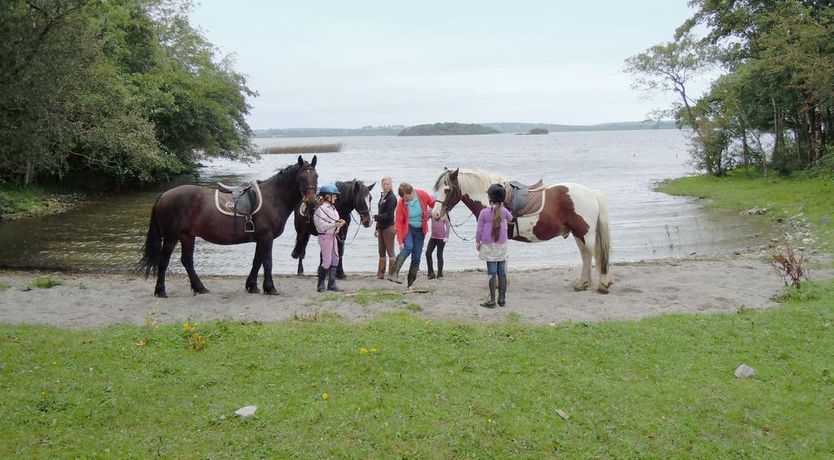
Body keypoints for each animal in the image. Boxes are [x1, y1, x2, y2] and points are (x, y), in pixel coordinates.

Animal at [138, 156, 316, 296]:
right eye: (301, 178)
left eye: (316, 176)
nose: (312, 201)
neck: (273, 198)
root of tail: (164, 195)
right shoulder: (266, 236)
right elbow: (267, 261)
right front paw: (270, 288)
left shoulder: (261, 238)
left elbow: (257, 261)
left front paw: (252, 286)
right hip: (171, 237)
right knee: (164, 261)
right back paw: (161, 290)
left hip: (187, 236)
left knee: (187, 260)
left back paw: (199, 287)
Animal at [428, 169, 612, 294]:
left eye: (447, 189)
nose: (435, 214)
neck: (493, 202)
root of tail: (591, 193)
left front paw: (500, 283)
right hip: (578, 234)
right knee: (586, 256)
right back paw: (583, 284)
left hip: (586, 235)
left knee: (595, 255)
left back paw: (602, 284)